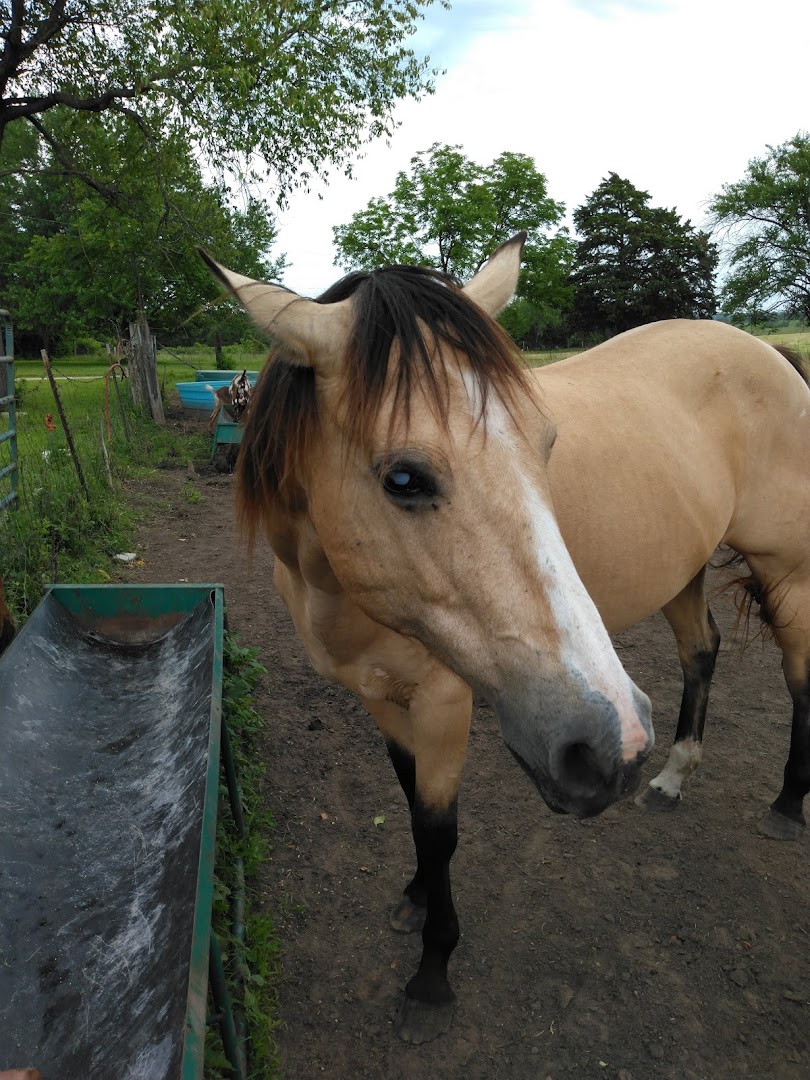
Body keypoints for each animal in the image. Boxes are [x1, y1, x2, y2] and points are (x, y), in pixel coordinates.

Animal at [201, 238, 810, 1045]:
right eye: (404, 478)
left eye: (546, 444)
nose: (610, 748)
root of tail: (771, 354)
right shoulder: (379, 698)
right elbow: (408, 801)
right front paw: (415, 897)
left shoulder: (443, 702)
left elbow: (438, 829)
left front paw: (432, 976)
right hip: (683, 569)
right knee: (700, 652)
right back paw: (674, 777)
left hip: (789, 572)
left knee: (800, 680)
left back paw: (787, 804)